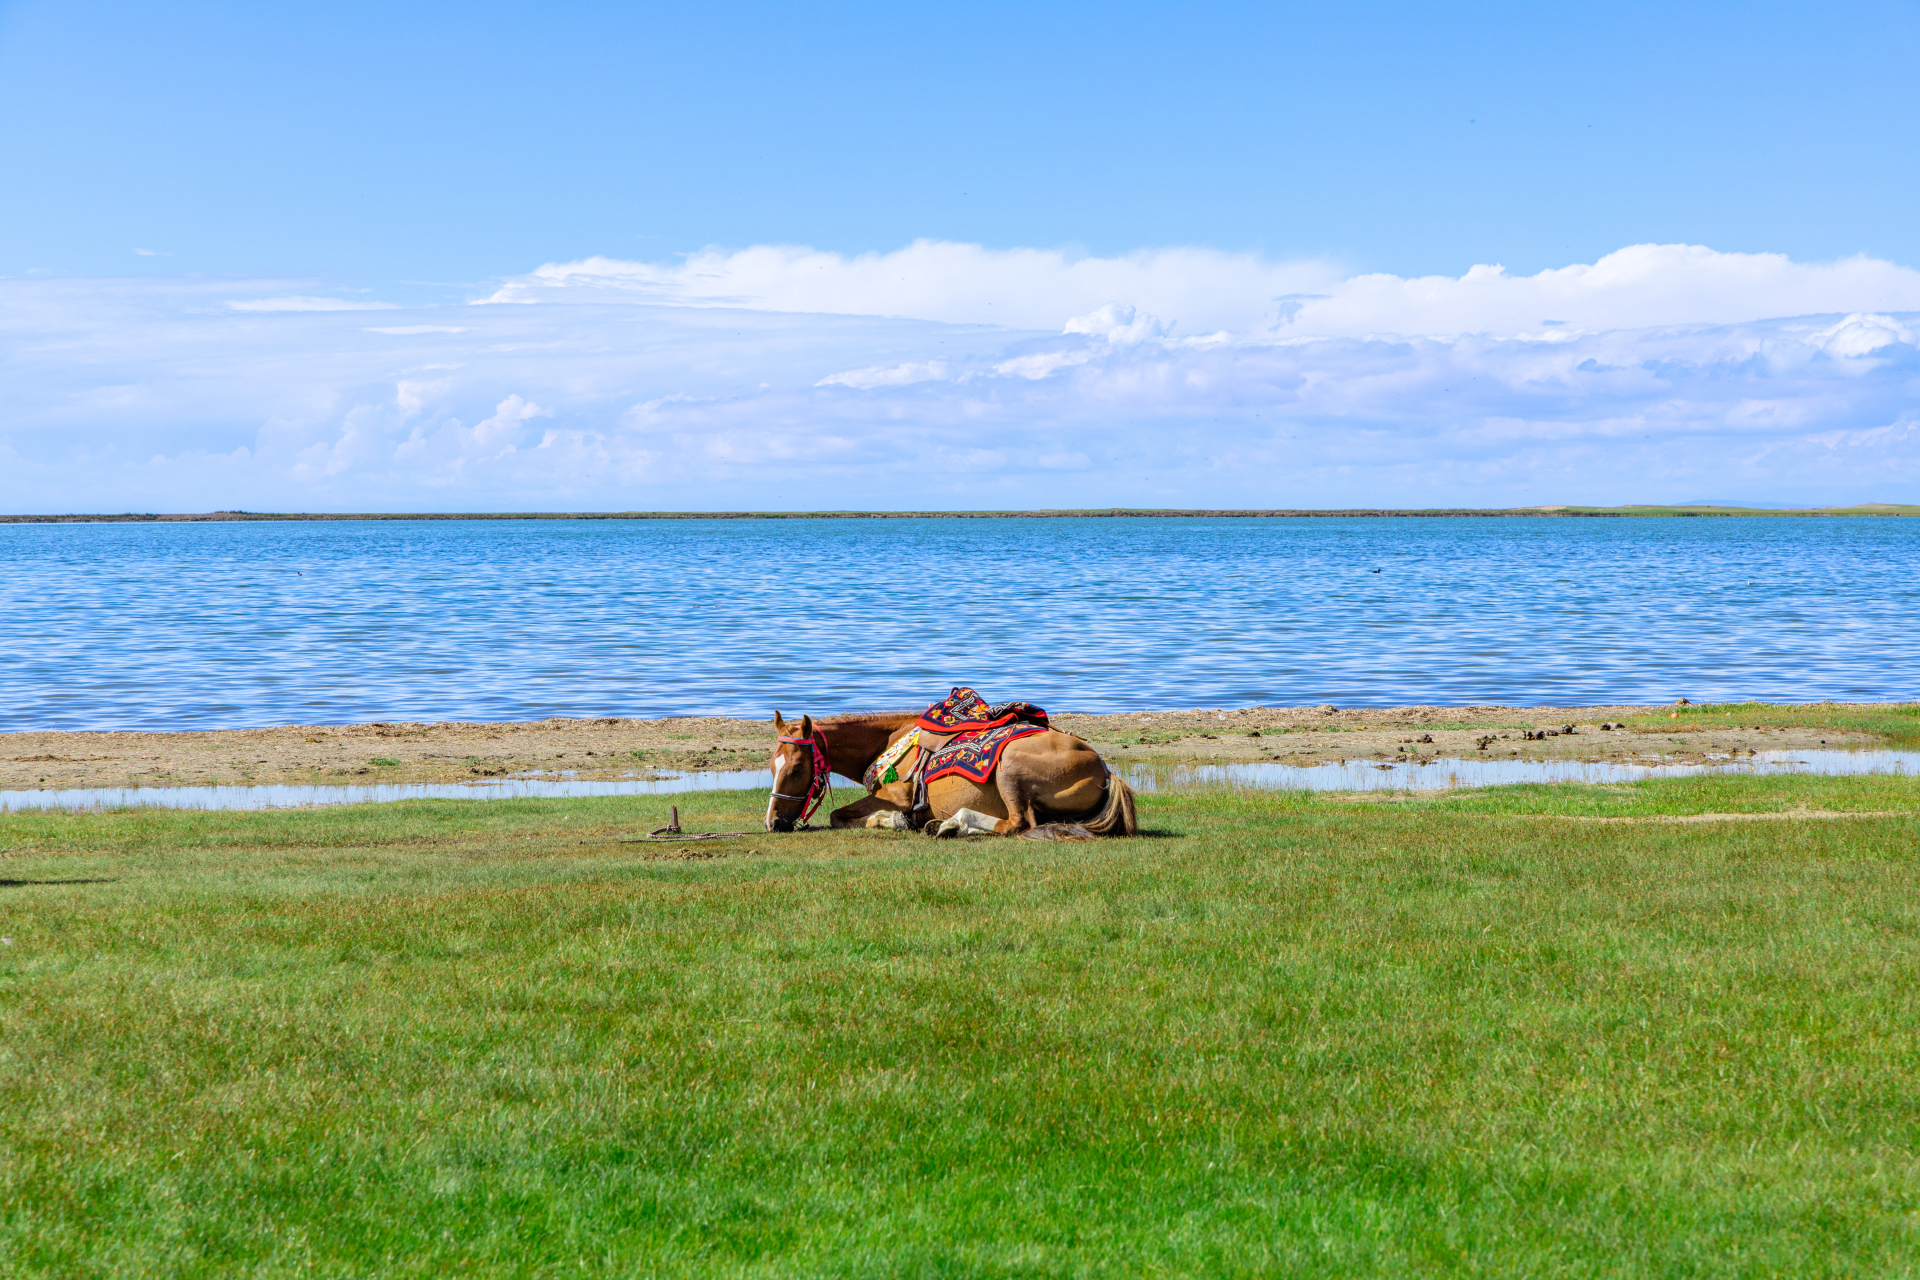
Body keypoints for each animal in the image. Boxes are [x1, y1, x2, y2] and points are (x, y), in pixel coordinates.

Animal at [764, 710, 1137, 837]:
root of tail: (1104, 770)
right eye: (771, 766)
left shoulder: (897, 795)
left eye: (796, 768)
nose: (772, 823)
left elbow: (838, 815)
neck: (891, 741)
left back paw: (951, 824)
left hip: (1009, 770)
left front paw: (897, 821)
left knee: (1017, 824)